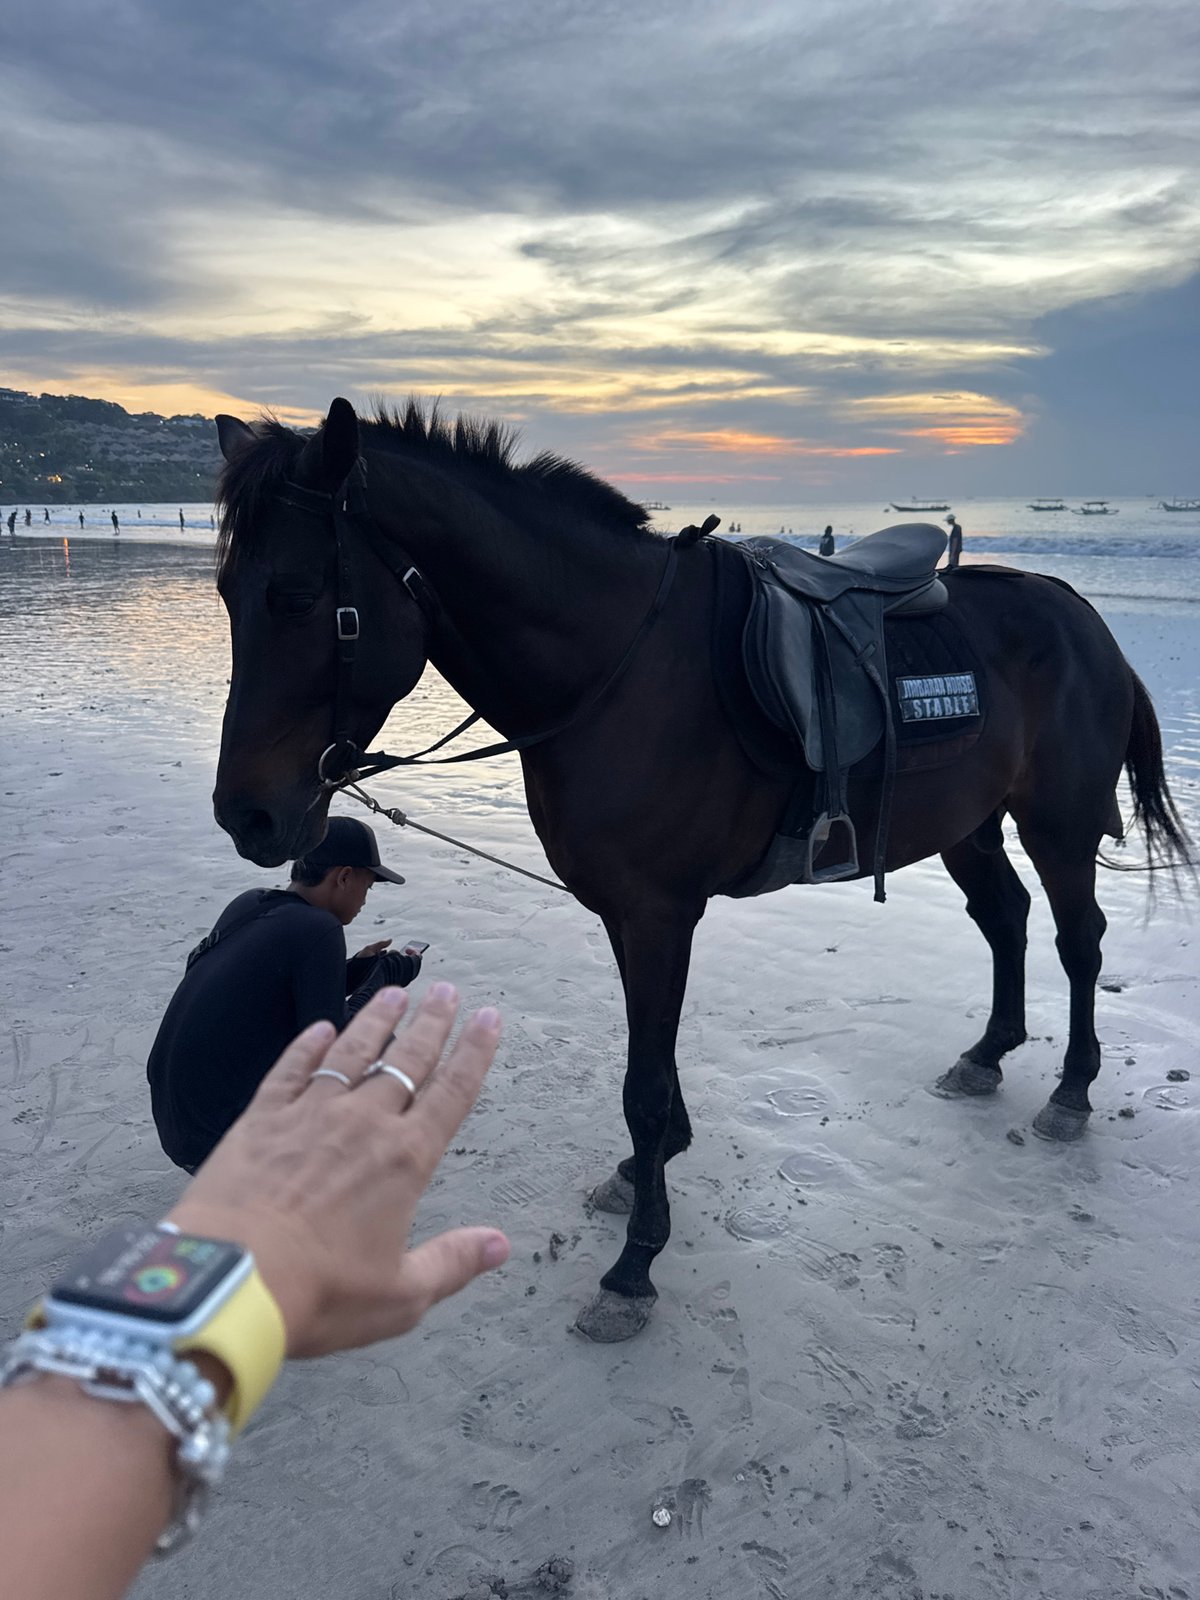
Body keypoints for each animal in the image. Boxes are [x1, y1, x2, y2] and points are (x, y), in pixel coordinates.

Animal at [211, 397, 1192, 1342]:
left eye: (297, 596)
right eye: (226, 594)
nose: (245, 815)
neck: (619, 664)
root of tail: (1080, 614)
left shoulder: (657, 915)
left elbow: (644, 1088)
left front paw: (635, 1265)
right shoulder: (628, 914)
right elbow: (652, 1072)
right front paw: (645, 1173)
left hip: (1059, 822)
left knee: (1078, 940)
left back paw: (1072, 1088)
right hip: (970, 825)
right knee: (1006, 919)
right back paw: (989, 1051)